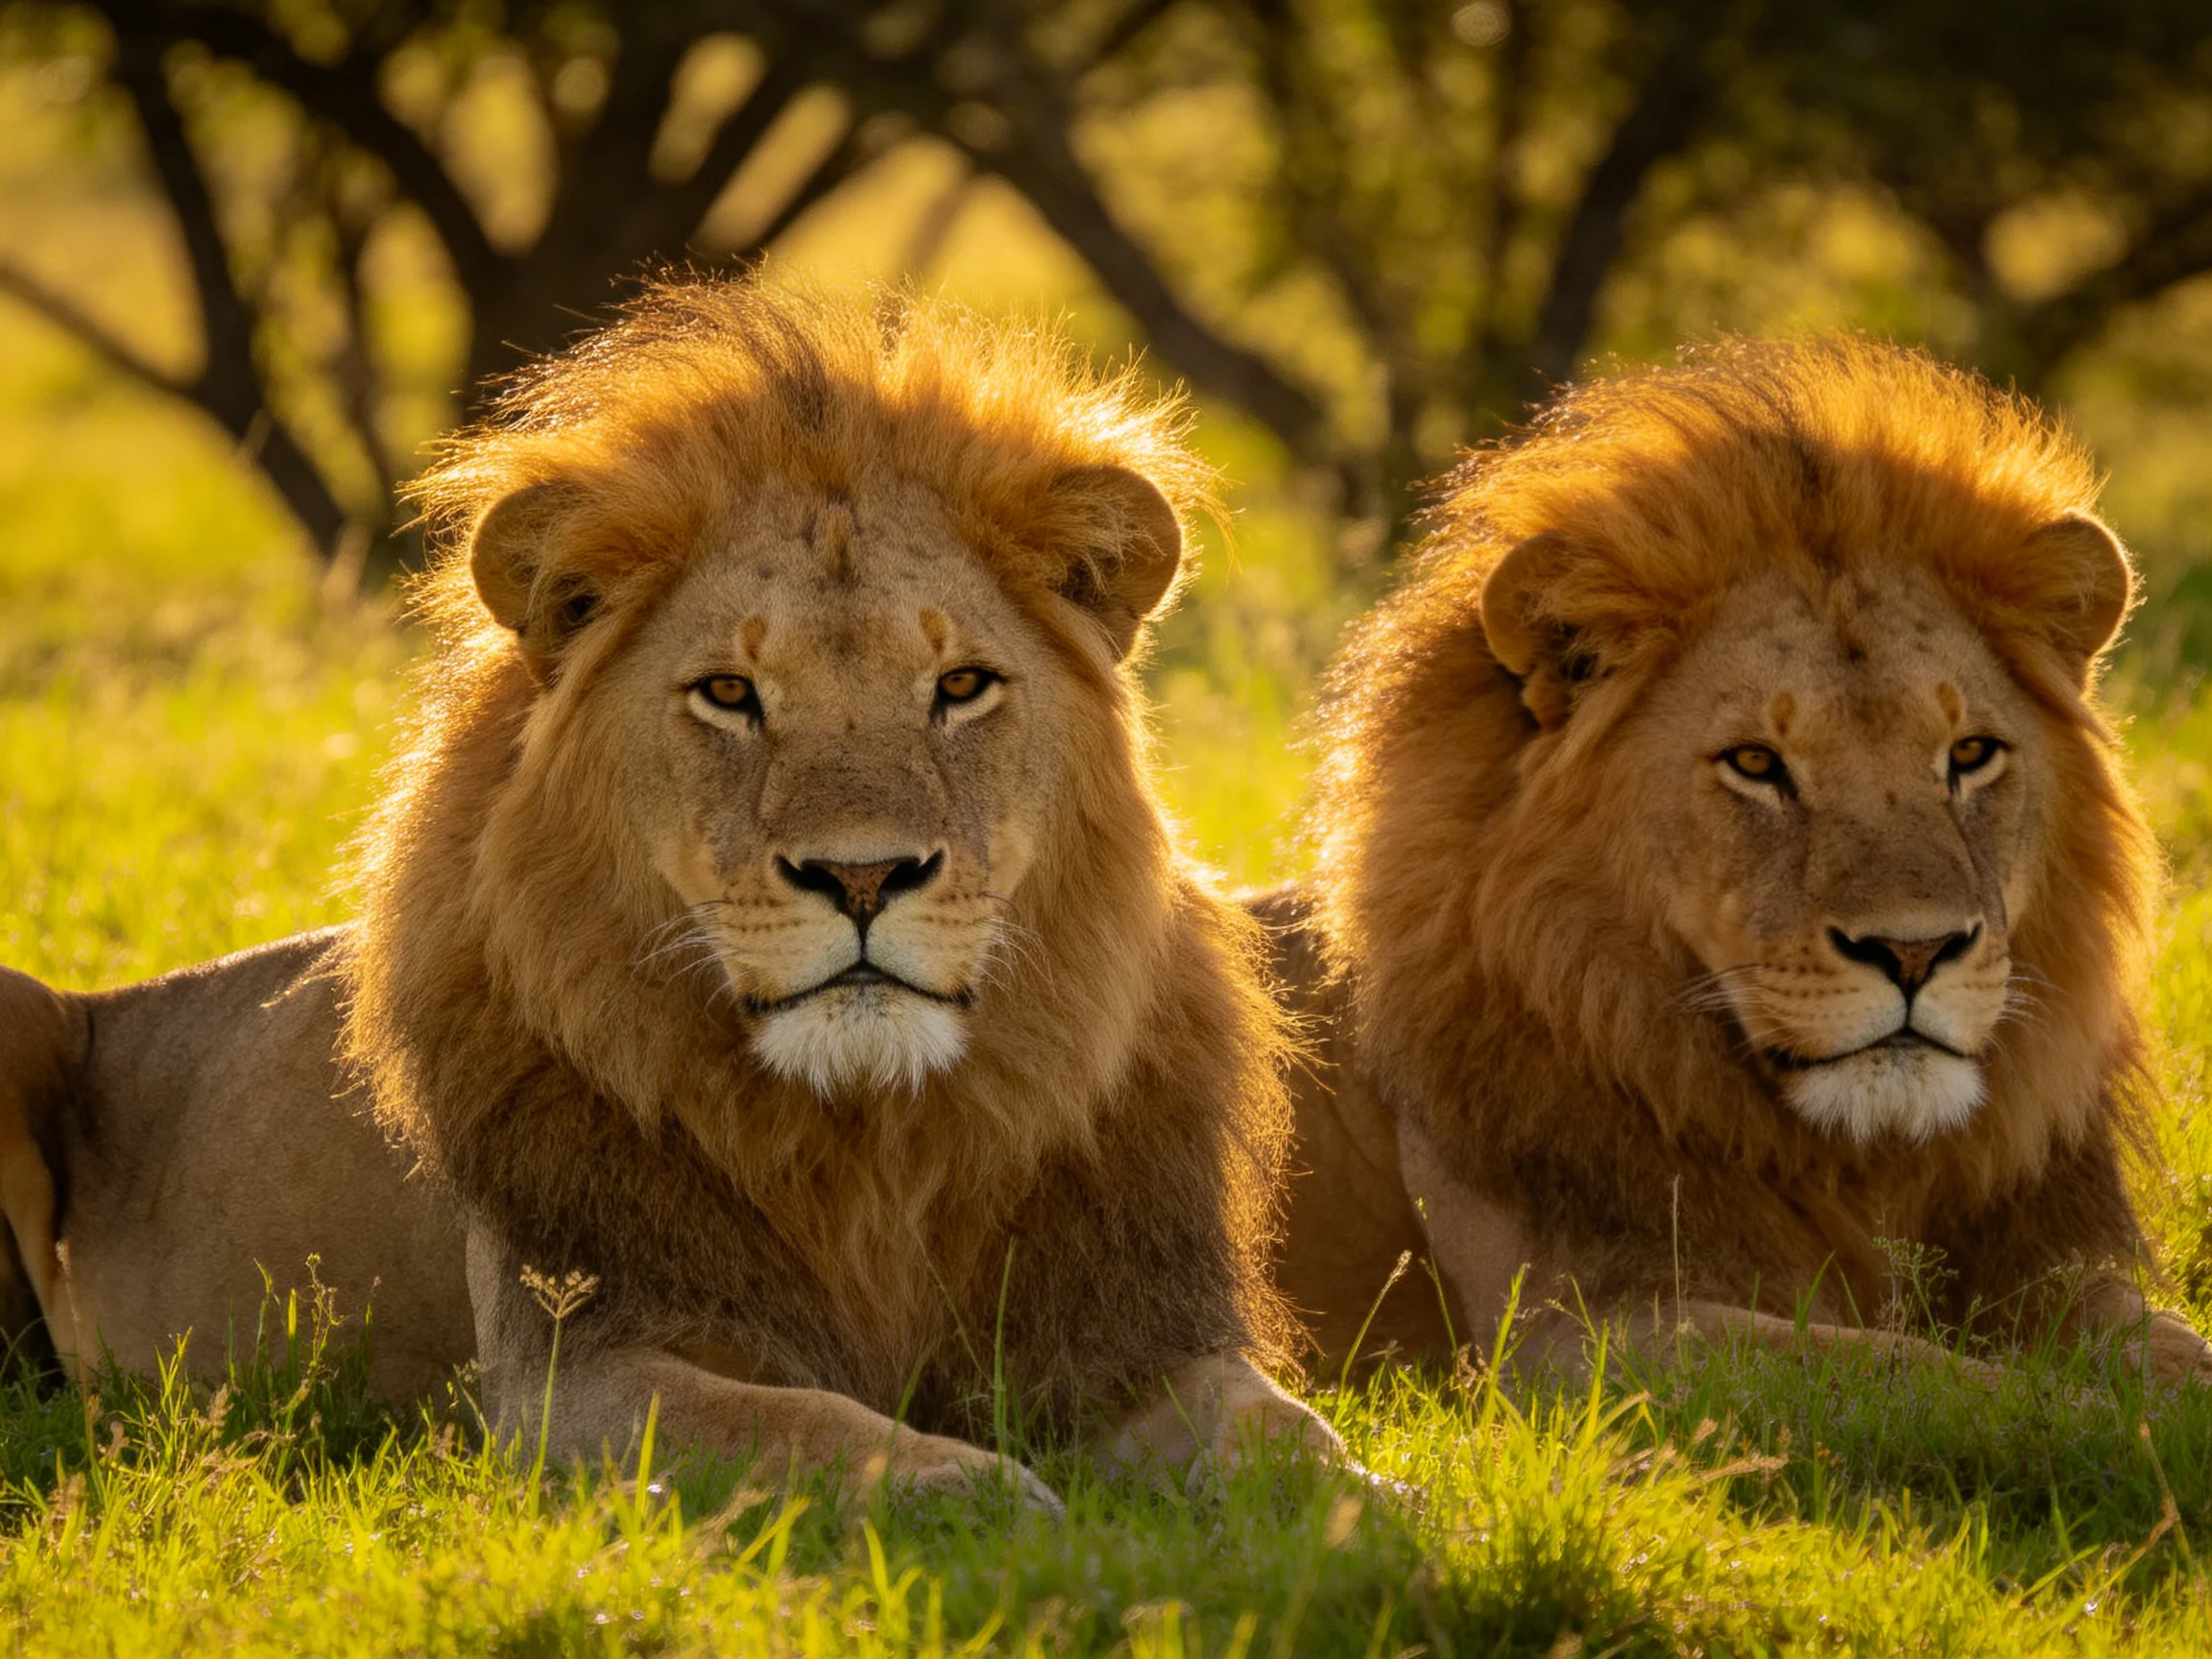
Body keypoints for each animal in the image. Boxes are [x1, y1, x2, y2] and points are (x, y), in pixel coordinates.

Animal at [0, 276, 1341, 1507]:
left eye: (962, 686)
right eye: (730, 695)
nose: (863, 874)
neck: (874, 1139)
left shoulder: (1125, 1332)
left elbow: (1300, 1447)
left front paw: (1362, 1523)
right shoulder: (571, 1380)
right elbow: (821, 1431)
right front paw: (998, 1498)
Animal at [1264, 336, 2212, 1388]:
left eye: (1970, 754)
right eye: (1757, 764)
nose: (1916, 953)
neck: (1868, 1163)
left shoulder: (2055, 1275)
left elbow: (2168, 1350)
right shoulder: (1585, 1335)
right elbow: (1927, 1375)